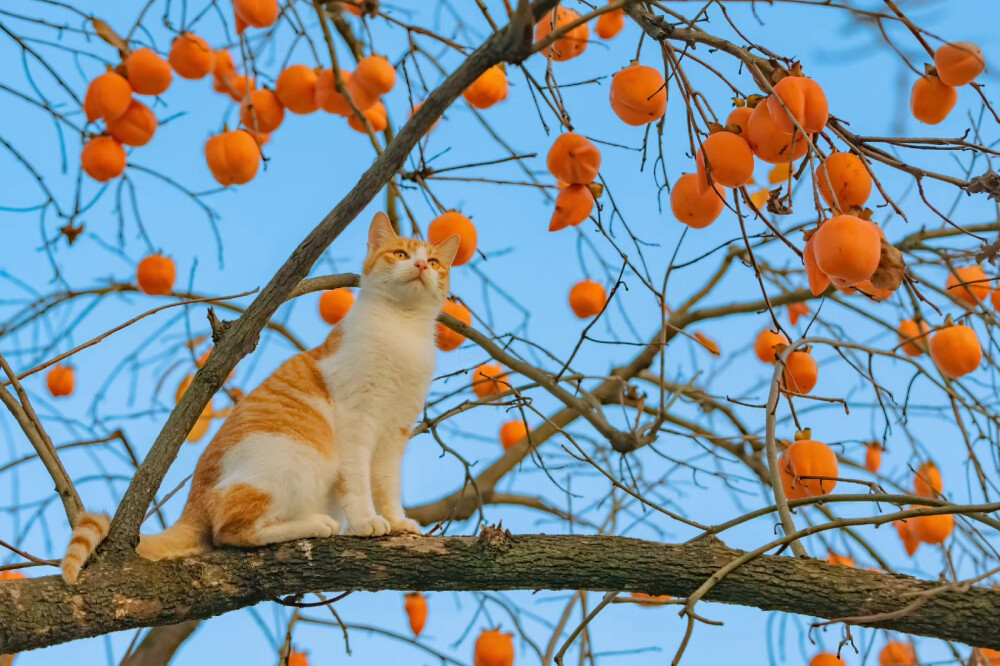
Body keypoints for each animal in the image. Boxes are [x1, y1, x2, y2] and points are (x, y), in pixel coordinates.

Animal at [64, 214, 462, 580]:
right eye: (400, 254)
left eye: (435, 262)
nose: (421, 265)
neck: (402, 329)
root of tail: (193, 505)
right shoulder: (356, 422)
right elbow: (357, 481)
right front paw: (366, 521)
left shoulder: (395, 431)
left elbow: (387, 483)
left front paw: (397, 521)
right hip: (296, 458)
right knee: (230, 533)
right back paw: (315, 524)